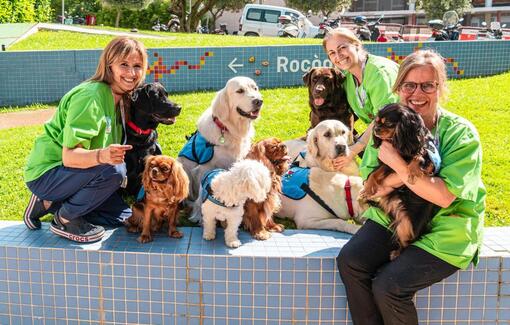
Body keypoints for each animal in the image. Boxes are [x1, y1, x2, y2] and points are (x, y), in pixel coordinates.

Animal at [362, 102, 442, 260]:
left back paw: (397, 253)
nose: (376, 129)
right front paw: (368, 189)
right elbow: (374, 174)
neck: (400, 142)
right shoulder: (387, 163)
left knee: (408, 243)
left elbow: (419, 156)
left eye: (387, 123)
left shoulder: (430, 157)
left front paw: (412, 170)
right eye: (377, 121)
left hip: (407, 224)